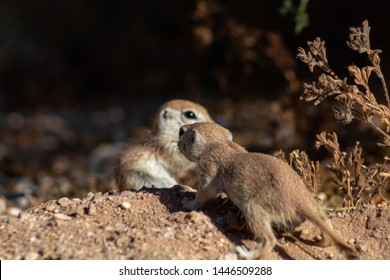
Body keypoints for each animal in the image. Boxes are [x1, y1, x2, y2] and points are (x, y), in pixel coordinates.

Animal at [178, 121, 358, 260]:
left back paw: (247, 254)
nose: (180, 130)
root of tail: (301, 202)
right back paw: (320, 240)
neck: (219, 143)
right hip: (316, 207)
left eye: (182, 132)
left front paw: (187, 202)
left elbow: (204, 194)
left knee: (270, 240)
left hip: (253, 209)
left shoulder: (208, 168)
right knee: (327, 224)